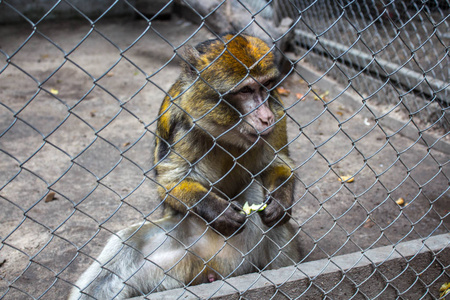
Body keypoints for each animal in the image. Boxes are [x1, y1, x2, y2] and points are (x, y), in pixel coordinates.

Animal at [69, 34, 302, 298]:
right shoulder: (183, 126)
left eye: (266, 86)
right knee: (124, 246)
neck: (226, 133)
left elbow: (277, 162)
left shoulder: (278, 108)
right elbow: (171, 181)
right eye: (245, 90)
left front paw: (281, 201)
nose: (265, 117)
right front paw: (218, 211)